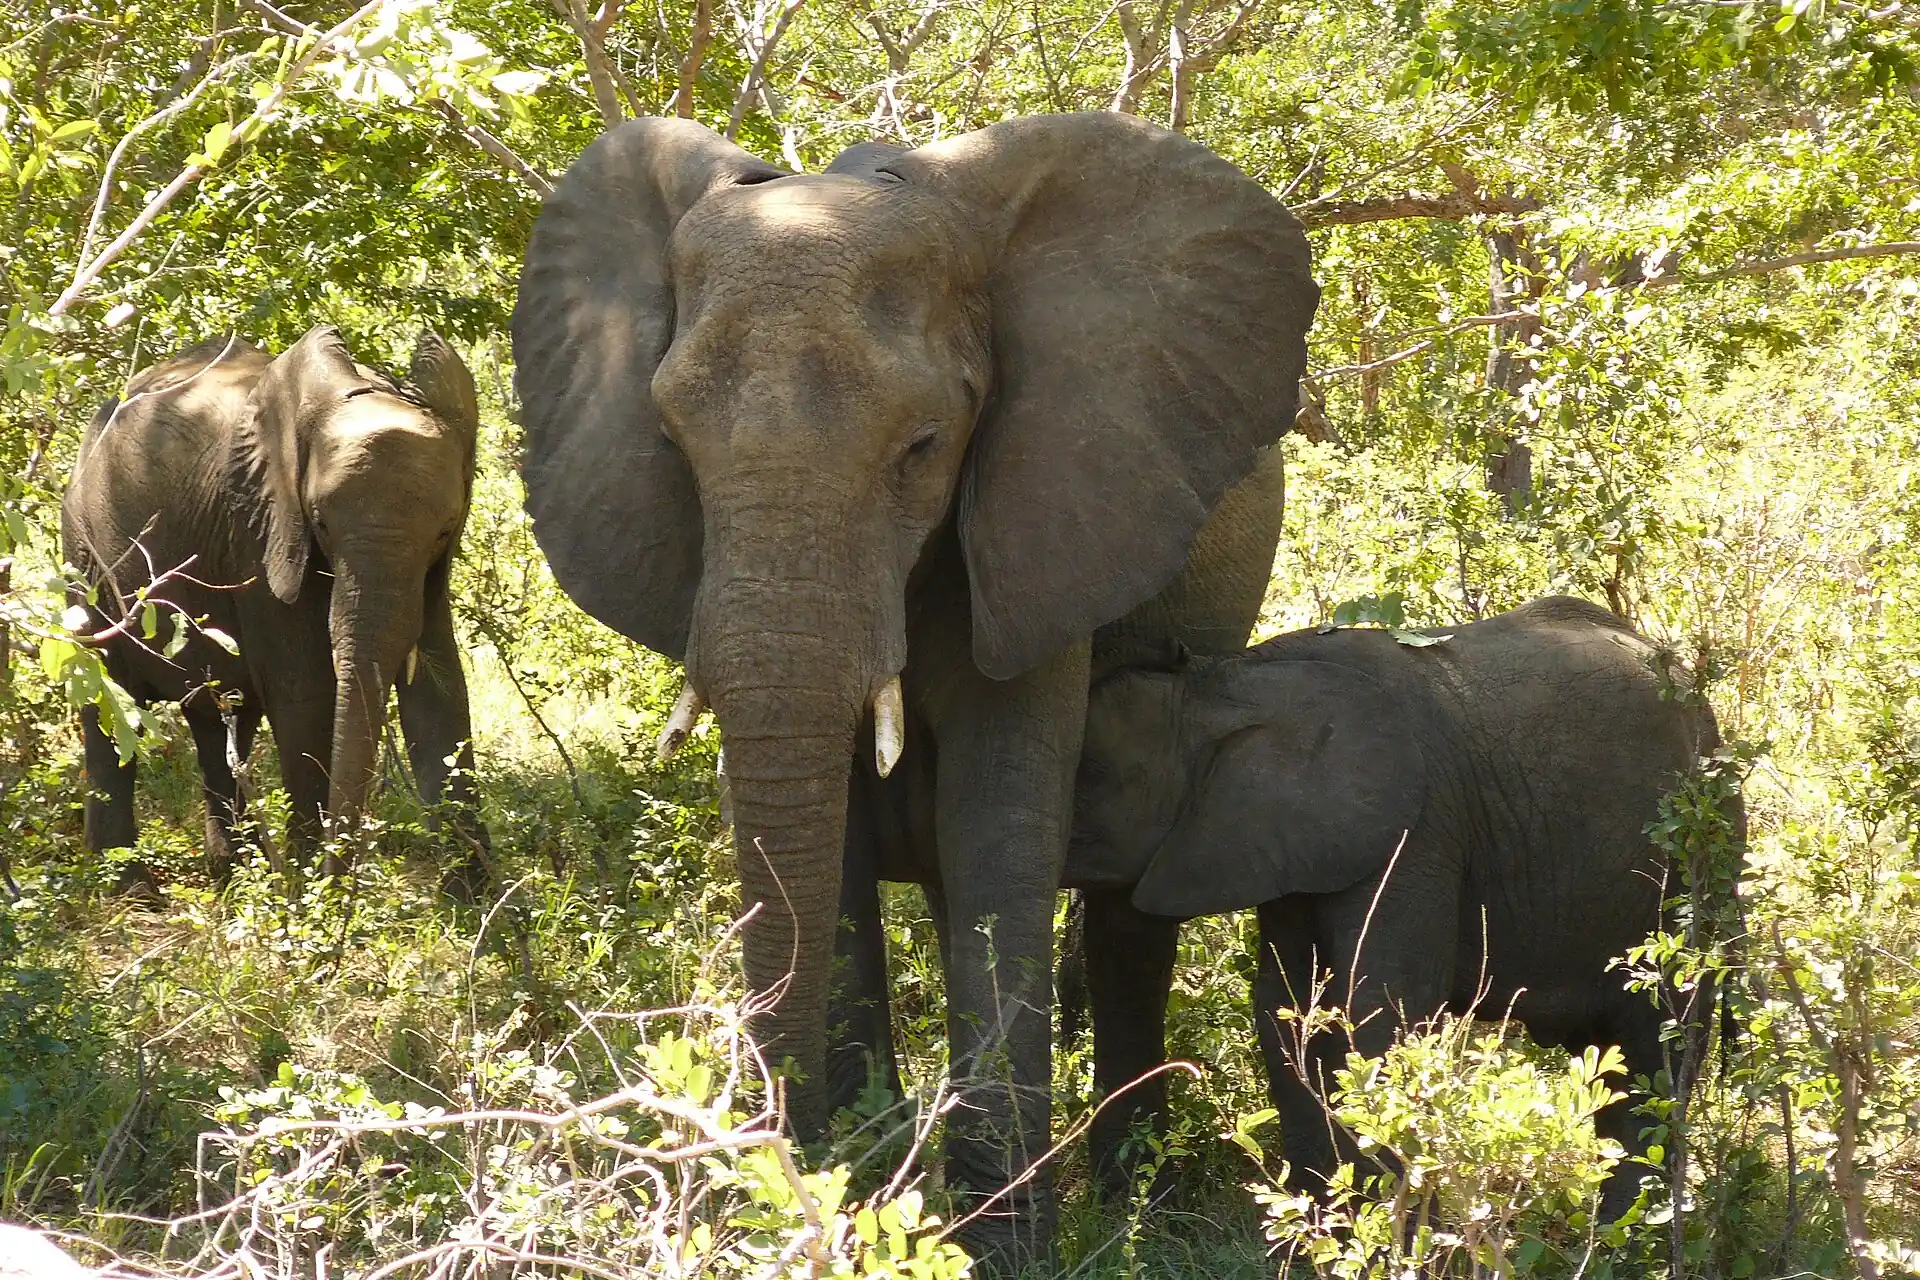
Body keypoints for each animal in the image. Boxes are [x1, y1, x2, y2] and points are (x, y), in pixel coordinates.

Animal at [61, 325, 490, 890]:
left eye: (444, 530)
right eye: (321, 523)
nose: (343, 880)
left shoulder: (433, 571)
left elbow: (442, 694)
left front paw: (483, 901)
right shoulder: (261, 534)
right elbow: (306, 695)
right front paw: (312, 895)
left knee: (220, 715)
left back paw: (231, 875)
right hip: (85, 560)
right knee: (107, 702)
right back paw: (130, 889)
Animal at [512, 111, 1318, 1255]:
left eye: (925, 447)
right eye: (669, 440)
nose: (790, 1168)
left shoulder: (1049, 516)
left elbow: (995, 818)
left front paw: (995, 1244)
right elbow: (836, 839)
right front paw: (864, 1184)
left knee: (1126, 913)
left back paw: (1137, 1203)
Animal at [1063, 596, 1741, 1215]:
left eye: (1086, 776)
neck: (1223, 682)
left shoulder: (1415, 828)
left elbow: (1380, 1006)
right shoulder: (1294, 842)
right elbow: (1288, 1011)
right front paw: (1328, 1224)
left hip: (1695, 859)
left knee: (1661, 1039)